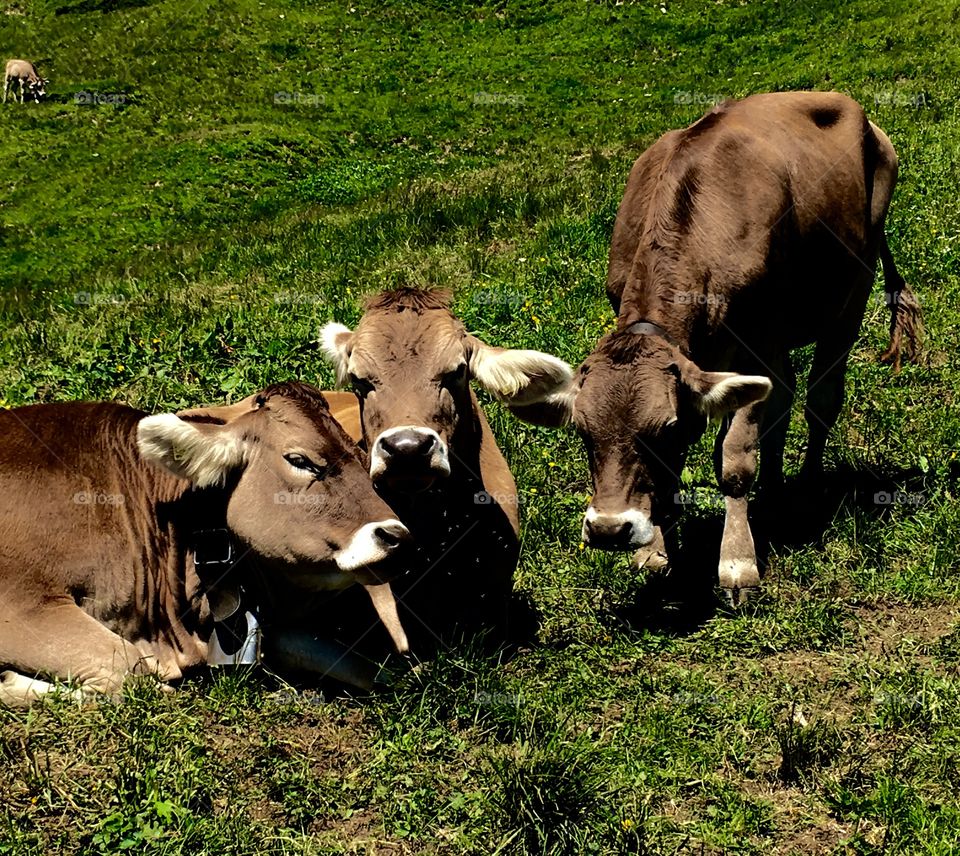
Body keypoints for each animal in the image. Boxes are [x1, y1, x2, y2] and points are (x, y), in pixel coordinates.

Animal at [0, 381, 415, 706]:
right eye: (300, 460)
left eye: (363, 458)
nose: (397, 537)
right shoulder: (23, 601)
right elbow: (128, 670)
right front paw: (12, 682)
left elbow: (368, 668)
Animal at [506, 91, 921, 605]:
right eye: (582, 431)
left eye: (663, 429)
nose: (609, 530)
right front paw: (655, 552)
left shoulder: (756, 347)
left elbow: (735, 457)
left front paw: (738, 563)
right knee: (781, 401)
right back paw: (775, 491)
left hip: (851, 294)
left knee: (821, 399)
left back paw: (805, 488)